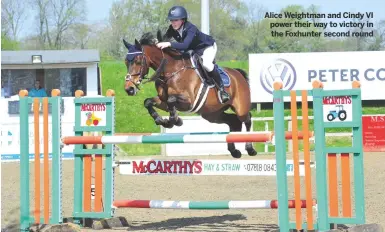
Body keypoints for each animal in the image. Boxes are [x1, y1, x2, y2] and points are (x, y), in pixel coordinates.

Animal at [121, 29, 256, 159]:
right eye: (126, 62)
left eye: (138, 61)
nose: (129, 89)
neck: (171, 71)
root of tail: (238, 74)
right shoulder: (162, 100)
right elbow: (148, 102)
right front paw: (161, 120)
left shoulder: (189, 102)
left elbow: (171, 100)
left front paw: (174, 121)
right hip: (212, 114)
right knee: (233, 122)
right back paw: (234, 151)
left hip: (240, 108)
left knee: (247, 119)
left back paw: (250, 149)